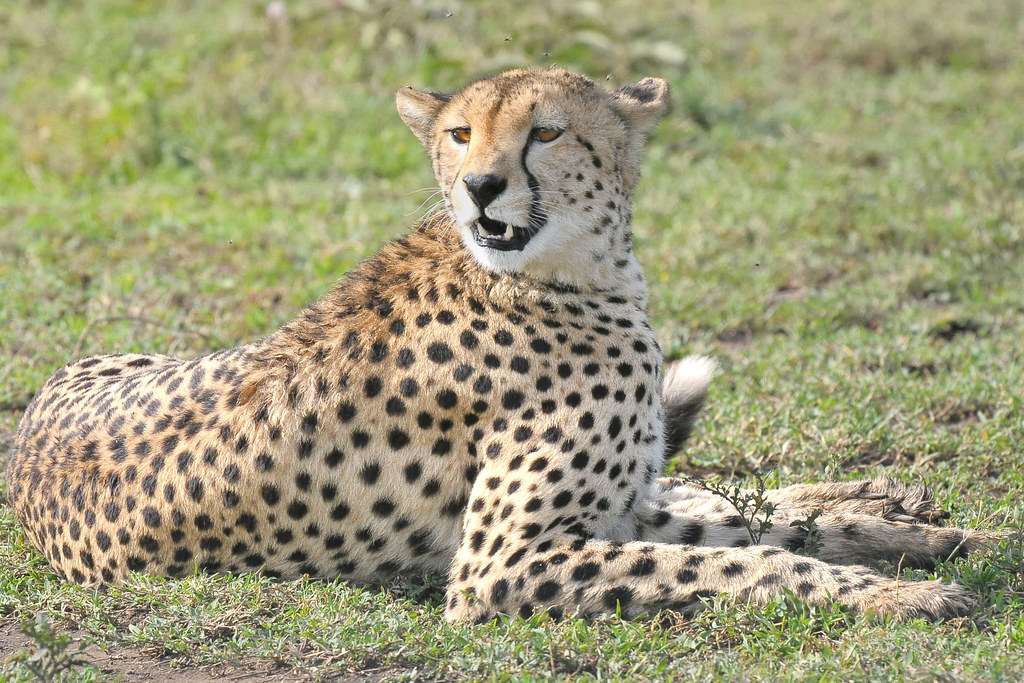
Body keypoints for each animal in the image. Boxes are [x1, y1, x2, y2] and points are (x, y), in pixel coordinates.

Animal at [8, 67, 980, 623]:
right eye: (460, 134)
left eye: (546, 132)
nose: (480, 186)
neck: (571, 271)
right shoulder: (503, 558)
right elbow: (749, 558)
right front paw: (899, 590)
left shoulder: (601, 510)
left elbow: (748, 526)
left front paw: (896, 539)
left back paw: (892, 498)